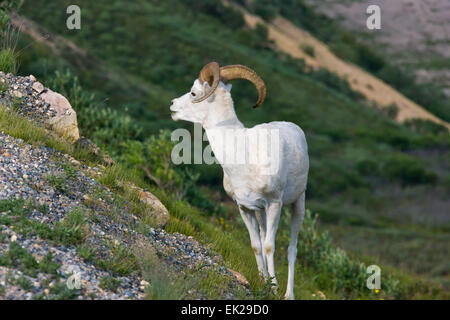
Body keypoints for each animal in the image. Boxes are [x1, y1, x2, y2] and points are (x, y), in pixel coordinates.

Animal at [170, 62, 310, 300]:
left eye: (193, 93)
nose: (172, 105)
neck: (242, 154)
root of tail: (296, 129)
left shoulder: (274, 204)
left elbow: (270, 246)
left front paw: (273, 288)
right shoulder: (245, 207)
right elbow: (256, 245)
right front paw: (263, 283)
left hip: (297, 203)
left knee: (292, 249)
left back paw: (288, 294)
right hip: (260, 212)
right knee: (263, 237)